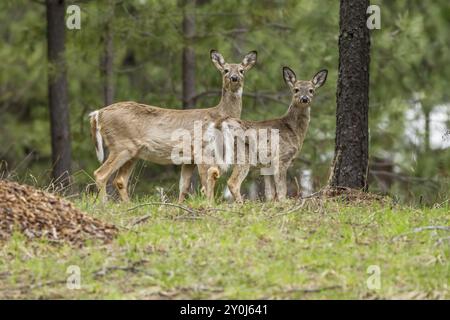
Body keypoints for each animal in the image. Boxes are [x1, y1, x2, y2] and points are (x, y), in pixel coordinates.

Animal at [88, 50, 258, 202]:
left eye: (242, 70)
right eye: (225, 70)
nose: (234, 78)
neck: (218, 114)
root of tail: (98, 113)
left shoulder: (189, 160)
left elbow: (184, 187)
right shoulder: (202, 150)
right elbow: (205, 183)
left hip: (133, 152)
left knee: (120, 180)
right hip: (122, 145)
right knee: (101, 174)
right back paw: (104, 205)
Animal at [204, 67, 326, 202]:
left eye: (311, 90)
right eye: (296, 89)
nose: (304, 99)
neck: (293, 129)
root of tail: (220, 124)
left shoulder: (267, 165)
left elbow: (270, 193)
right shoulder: (281, 157)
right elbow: (281, 191)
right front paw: (283, 203)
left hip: (219, 152)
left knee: (210, 173)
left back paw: (210, 203)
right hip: (243, 154)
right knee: (232, 182)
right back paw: (240, 203)